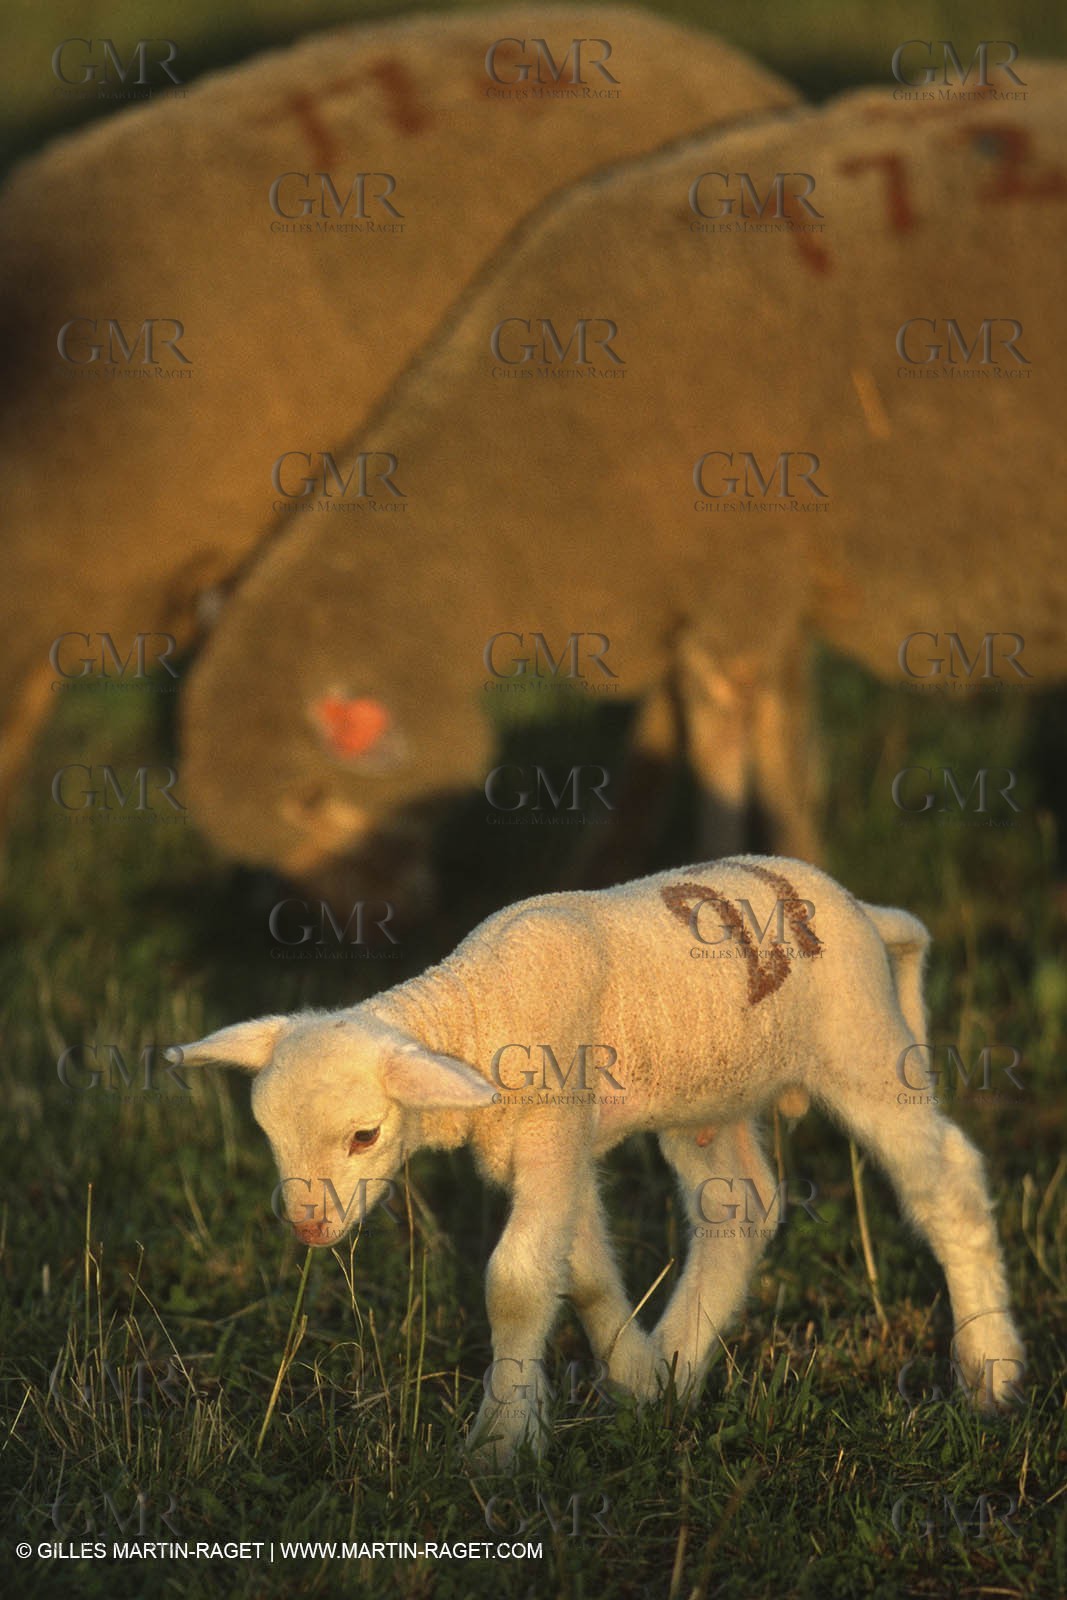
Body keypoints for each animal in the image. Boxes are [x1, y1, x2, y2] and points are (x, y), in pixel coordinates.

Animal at [173, 855, 1024, 1462]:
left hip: (860, 1044)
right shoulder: (553, 1147)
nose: (308, 1227)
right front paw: (637, 1379)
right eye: (269, 1137)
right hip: (707, 1097)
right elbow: (575, 1269)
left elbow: (517, 1282)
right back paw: (679, 1361)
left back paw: (991, 1369)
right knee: (740, 1206)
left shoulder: (555, 1127)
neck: (479, 1008)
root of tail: (863, 910)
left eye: (363, 1136)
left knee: (946, 1181)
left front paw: (499, 1444)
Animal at [179, 71, 1067, 901]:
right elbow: (742, 731)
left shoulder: (742, 572)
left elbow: (731, 732)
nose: (363, 930)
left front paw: (747, 863)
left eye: (306, 797)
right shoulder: (722, 588)